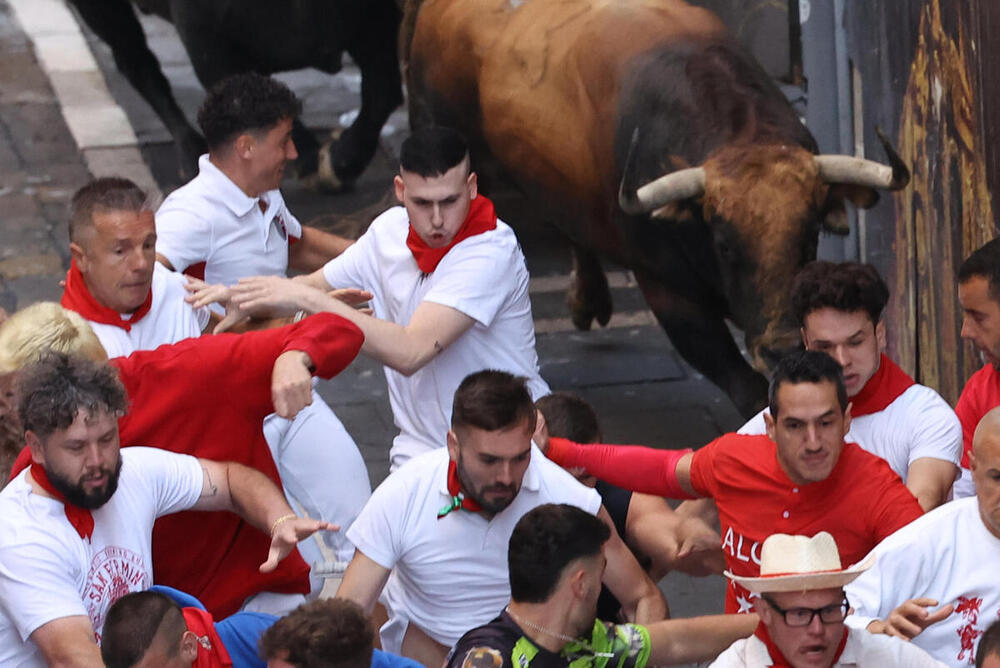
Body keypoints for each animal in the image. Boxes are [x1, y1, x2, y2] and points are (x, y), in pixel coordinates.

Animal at [404, 0, 908, 418]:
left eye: (809, 237)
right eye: (724, 244)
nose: (781, 347)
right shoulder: (668, 293)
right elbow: (745, 387)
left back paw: (589, 298)